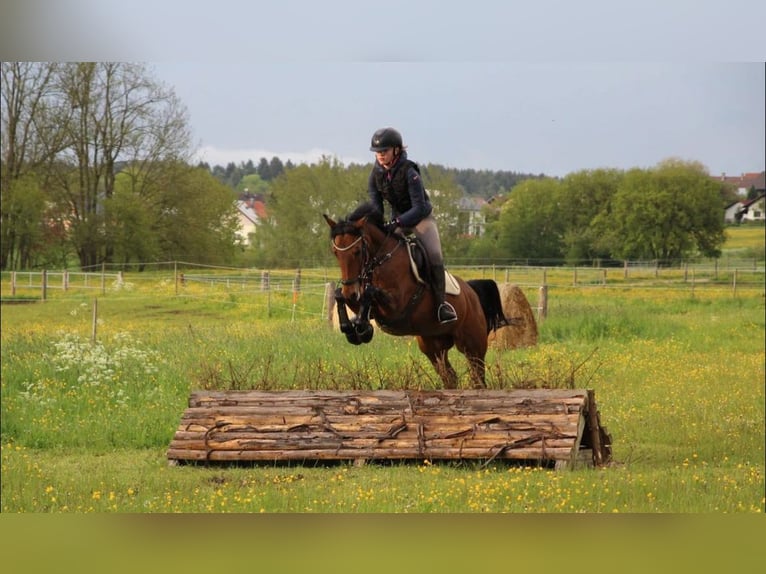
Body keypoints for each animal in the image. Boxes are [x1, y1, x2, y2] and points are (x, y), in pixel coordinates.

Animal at [324, 202, 510, 392]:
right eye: (335, 252)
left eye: (357, 251)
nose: (351, 292)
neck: (383, 260)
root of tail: (471, 292)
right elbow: (342, 297)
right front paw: (352, 329)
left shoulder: (396, 307)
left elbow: (370, 292)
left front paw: (363, 329)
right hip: (433, 346)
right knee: (450, 377)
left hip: (473, 345)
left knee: (478, 378)